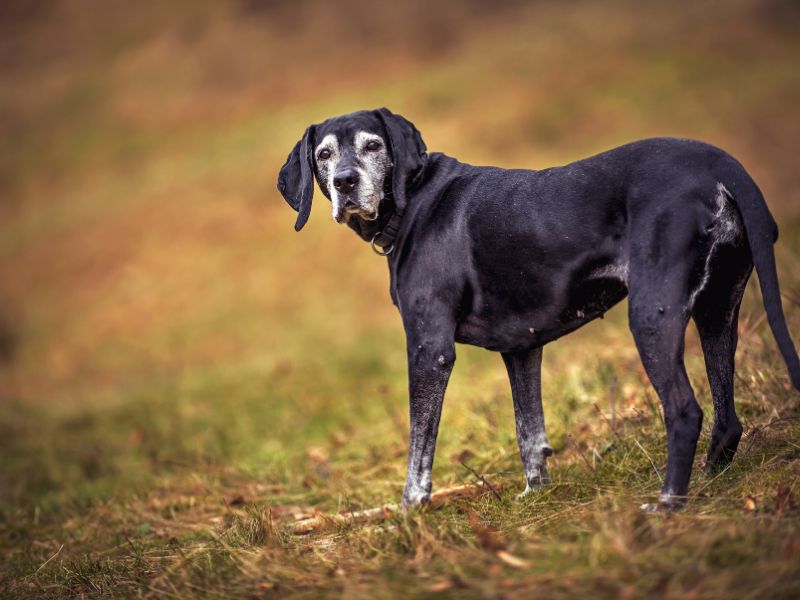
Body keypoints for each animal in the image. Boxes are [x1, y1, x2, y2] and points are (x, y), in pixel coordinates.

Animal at [276, 109, 800, 510]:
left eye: (372, 146)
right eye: (324, 154)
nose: (344, 182)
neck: (414, 200)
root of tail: (718, 163)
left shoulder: (429, 349)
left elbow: (419, 446)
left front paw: (410, 509)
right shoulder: (522, 349)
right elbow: (529, 429)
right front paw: (536, 493)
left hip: (653, 314)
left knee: (685, 411)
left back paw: (668, 503)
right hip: (718, 310)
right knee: (727, 417)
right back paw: (709, 483)